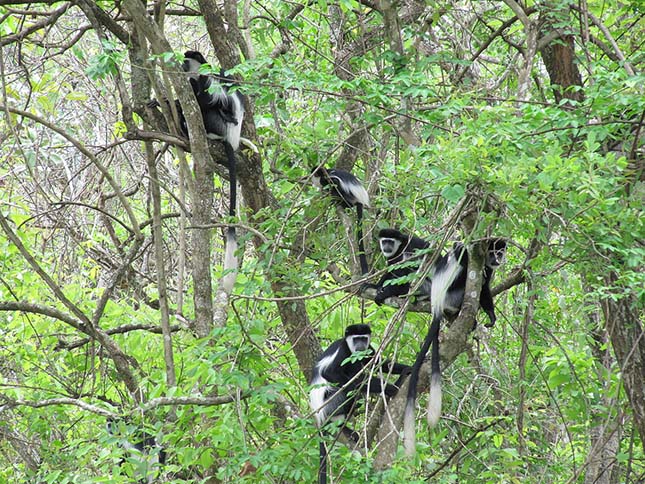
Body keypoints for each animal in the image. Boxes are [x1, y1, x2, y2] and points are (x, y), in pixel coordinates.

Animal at [310, 326, 410, 484]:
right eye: (356, 339)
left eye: (363, 338)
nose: (360, 345)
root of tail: (318, 414)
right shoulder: (343, 351)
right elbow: (329, 372)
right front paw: (392, 387)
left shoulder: (369, 350)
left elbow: (381, 363)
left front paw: (410, 367)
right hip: (330, 401)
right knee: (343, 386)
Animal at [406, 240, 506, 456]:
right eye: (493, 252)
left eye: (500, 252)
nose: (497, 259)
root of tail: (437, 304)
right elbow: (470, 267)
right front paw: (459, 246)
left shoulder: (488, 271)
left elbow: (485, 290)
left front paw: (491, 316)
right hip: (451, 293)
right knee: (462, 273)